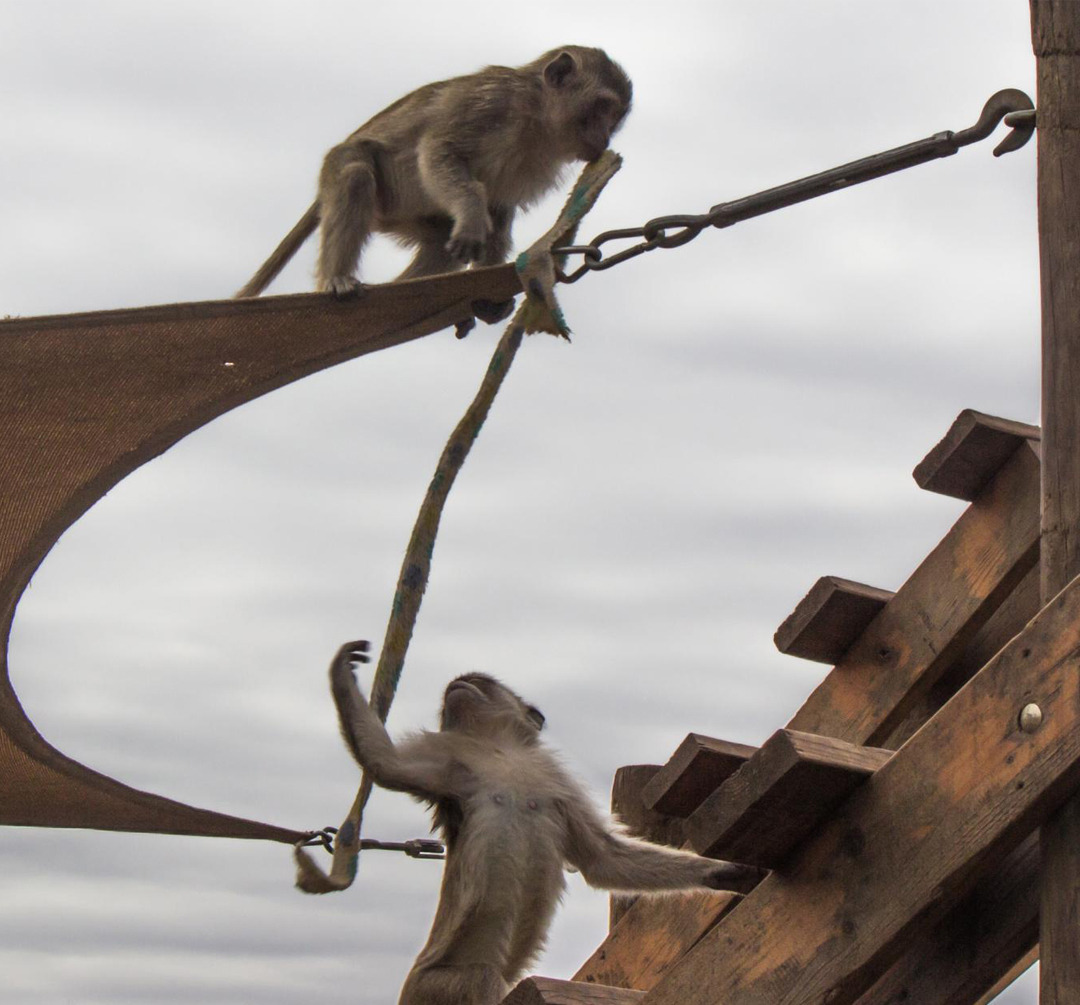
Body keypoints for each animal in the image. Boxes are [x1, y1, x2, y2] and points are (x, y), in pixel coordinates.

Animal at [236, 45, 632, 315]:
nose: (604, 139)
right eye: (602, 108)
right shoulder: (491, 104)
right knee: (355, 175)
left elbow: (498, 212)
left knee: (440, 236)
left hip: (400, 215)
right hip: (350, 171)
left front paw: (488, 291)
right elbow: (440, 151)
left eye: (614, 118)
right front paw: (471, 215)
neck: (536, 118)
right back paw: (337, 278)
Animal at [328, 641, 763, 1005]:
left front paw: (724, 873)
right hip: (435, 983)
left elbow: (602, 859)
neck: (504, 753)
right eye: (460, 685)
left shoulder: (557, 783)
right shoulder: (452, 758)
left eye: (479, 682)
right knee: (481, 978)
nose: (457, 686)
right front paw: (341, 672)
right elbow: (385, 763)